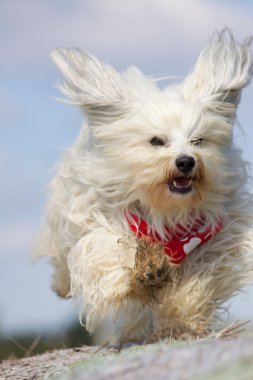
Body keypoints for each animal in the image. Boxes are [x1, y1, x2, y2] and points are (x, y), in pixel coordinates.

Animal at [35, 30, 253, 342]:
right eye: (156, 141)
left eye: (198, 141)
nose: (186, 161)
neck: (167, 210)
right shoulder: (101, 216)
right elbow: (109, 251)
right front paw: (144, 274)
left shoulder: (217, 236)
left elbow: (197, 282)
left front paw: (179, 319)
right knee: (63, 262)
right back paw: (63, 284)